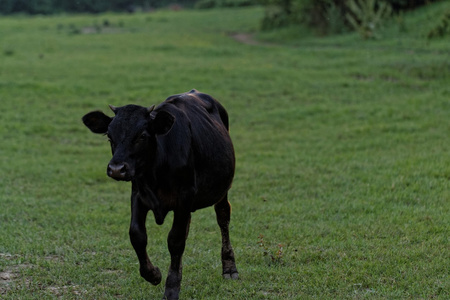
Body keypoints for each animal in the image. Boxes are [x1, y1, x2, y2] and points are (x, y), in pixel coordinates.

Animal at [83, 90, 241, 298]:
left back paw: (229, 268)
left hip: (222, 190)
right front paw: (153, 274)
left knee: (223, 218)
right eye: (109, 136)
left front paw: (172, 288)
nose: (117, 169)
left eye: (142, 135)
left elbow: (175, 240)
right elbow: (137, 235)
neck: (155, 171)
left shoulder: (185, 196)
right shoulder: (138, 194)